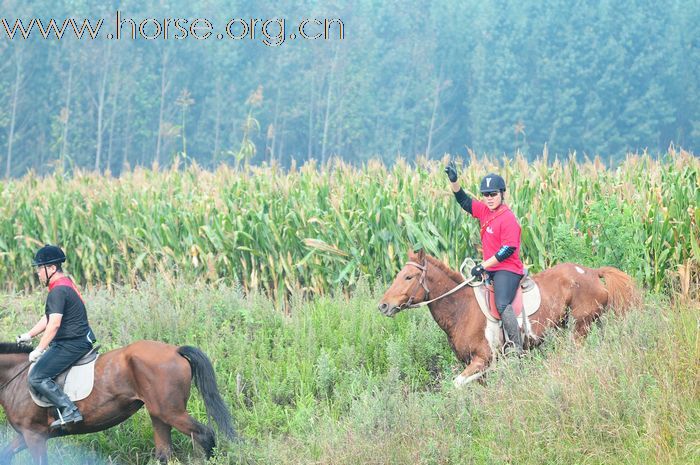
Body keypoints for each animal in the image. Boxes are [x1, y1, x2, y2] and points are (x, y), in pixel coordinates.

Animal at [0, 338, 237, 464]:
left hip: (172, 412)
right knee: (164, 453)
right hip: (158, 414)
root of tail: (175, 350)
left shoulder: (34, 435)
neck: (16, 378)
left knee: (205, 434)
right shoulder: (27, 435)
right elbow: (6, 454)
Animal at [380, 250, 636, 388]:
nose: (383, 305)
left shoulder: (482, 360)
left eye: (408, 277)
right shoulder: (472, 364)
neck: (462, 308)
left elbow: (457, 384)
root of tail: (592, 272)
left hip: (579, 329)